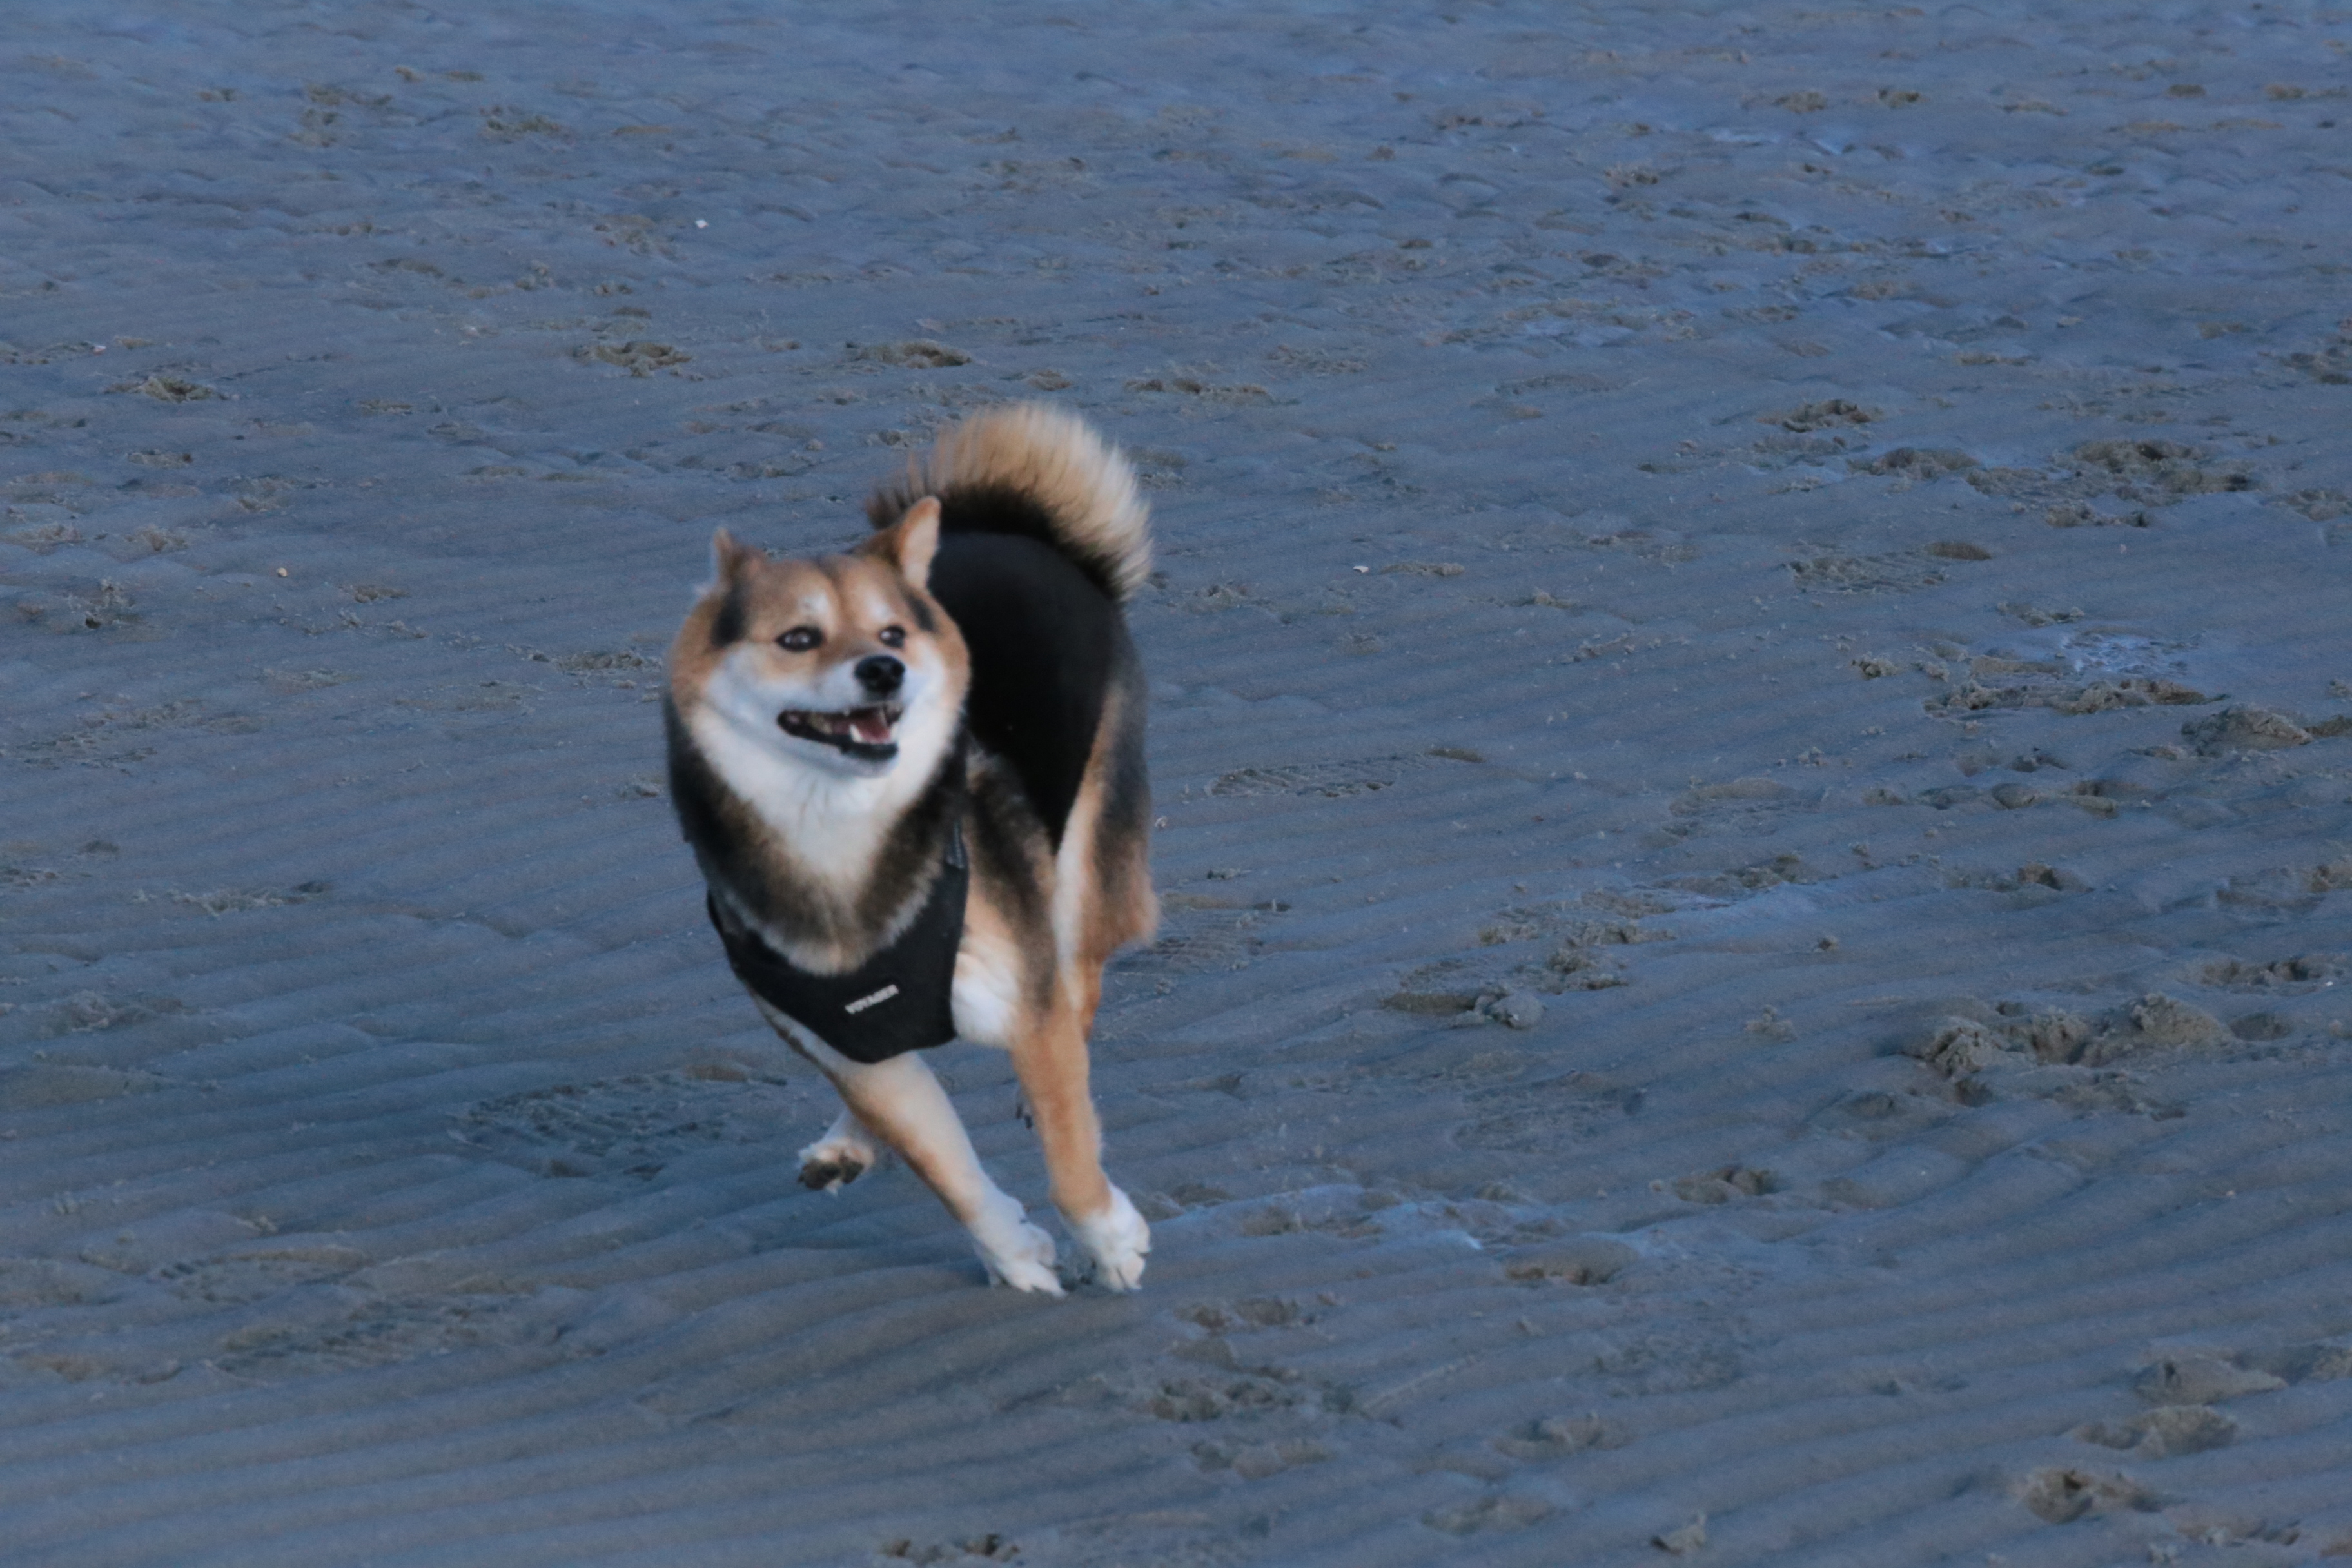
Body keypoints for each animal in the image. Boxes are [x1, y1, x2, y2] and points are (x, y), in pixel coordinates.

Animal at [664, 404, 1157, 1294]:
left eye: (891, 632)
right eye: (798, 638)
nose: (884, 668)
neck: (840, 835)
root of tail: (1015, 525)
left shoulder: (1024, 1002)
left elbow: (1070, 1152)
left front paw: (1106, 1241)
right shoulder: (845, 1044)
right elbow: (946, 1167)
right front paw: (1013, 1253)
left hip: (1091, 850)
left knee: (1082, 973)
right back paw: (850, 1141)